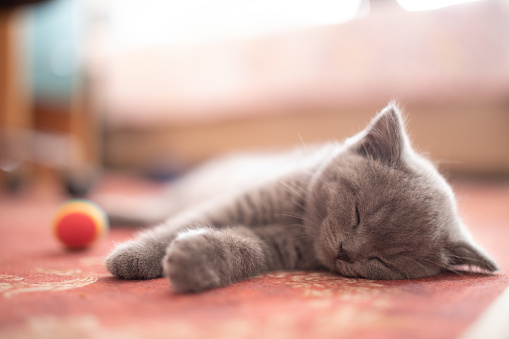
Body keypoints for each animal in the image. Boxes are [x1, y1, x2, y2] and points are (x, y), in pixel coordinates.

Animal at [105, 102, 498, 294]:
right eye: (357, 211)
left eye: (384, 261)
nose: (346, 252)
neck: (299, 226)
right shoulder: (243, 199)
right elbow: (184, 224)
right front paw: (132, 258)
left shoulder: (274, 245)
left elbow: (243, 249)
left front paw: (194, 263)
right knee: (158, 210)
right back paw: (112, 210)